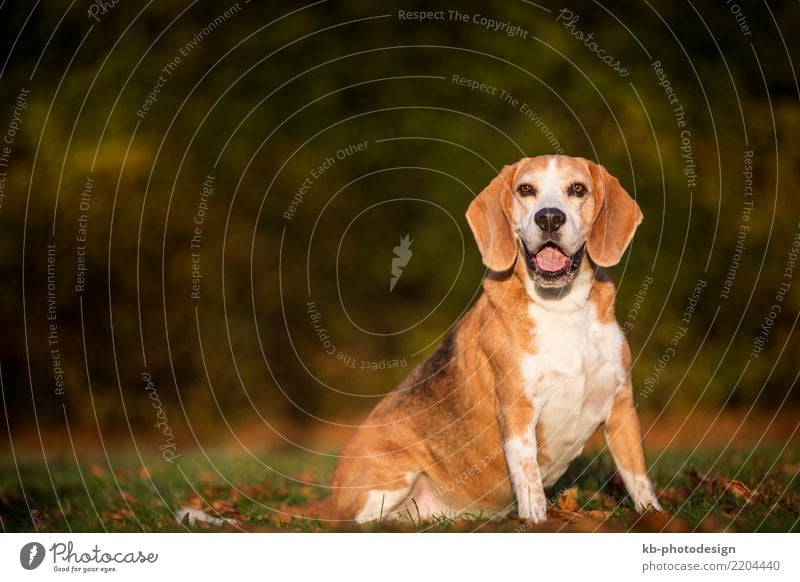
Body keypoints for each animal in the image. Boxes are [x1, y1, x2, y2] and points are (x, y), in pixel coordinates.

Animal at [322, 155, 660, 524]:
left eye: (578, 189)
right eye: (526, 189)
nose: (550, 217)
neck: (562, 308)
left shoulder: (621, 407)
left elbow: (639, 479)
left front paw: (656, 517)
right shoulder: (517, 411)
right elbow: (529, 481)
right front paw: (536, 523)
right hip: (391, 478)